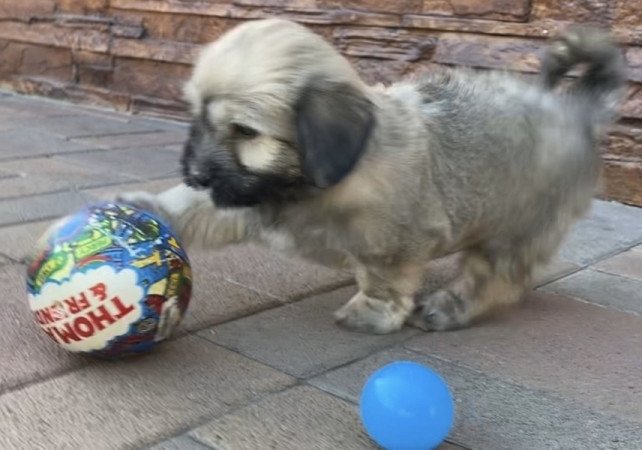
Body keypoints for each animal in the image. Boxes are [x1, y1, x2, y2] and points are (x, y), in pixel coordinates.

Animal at [119, 20, 620, 334]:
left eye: (245, 131)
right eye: (196, 116)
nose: (197, 173)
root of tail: (575, 109)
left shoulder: (393, 242)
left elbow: (384, 280)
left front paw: (372, 313)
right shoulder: (242, 199)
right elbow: (194, 208)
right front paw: (147, 209)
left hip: (517, 228)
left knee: (497, 278)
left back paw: (448, 307)